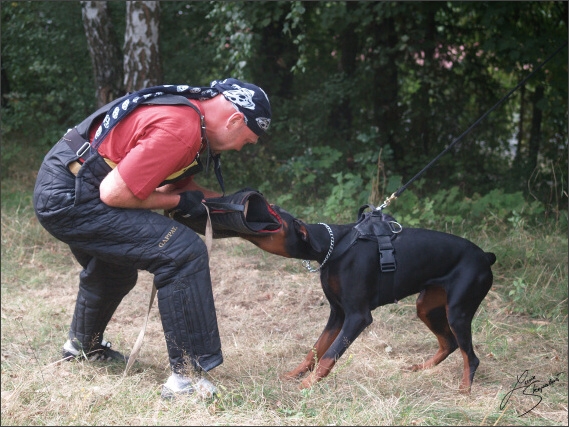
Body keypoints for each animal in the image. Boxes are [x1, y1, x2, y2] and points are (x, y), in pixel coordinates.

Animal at [234, 205, 492, 394]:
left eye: (274, 212)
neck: (334, 246)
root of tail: (486, 257)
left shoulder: (357, 317)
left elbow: (329, 355)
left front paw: (306, 385)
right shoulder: (337, 314)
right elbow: (315, 350)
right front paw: (294, 374)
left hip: (457, 312)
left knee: (471, 357)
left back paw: (464, 390)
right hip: (426, 306)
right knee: (449, 342)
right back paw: (421, 367)